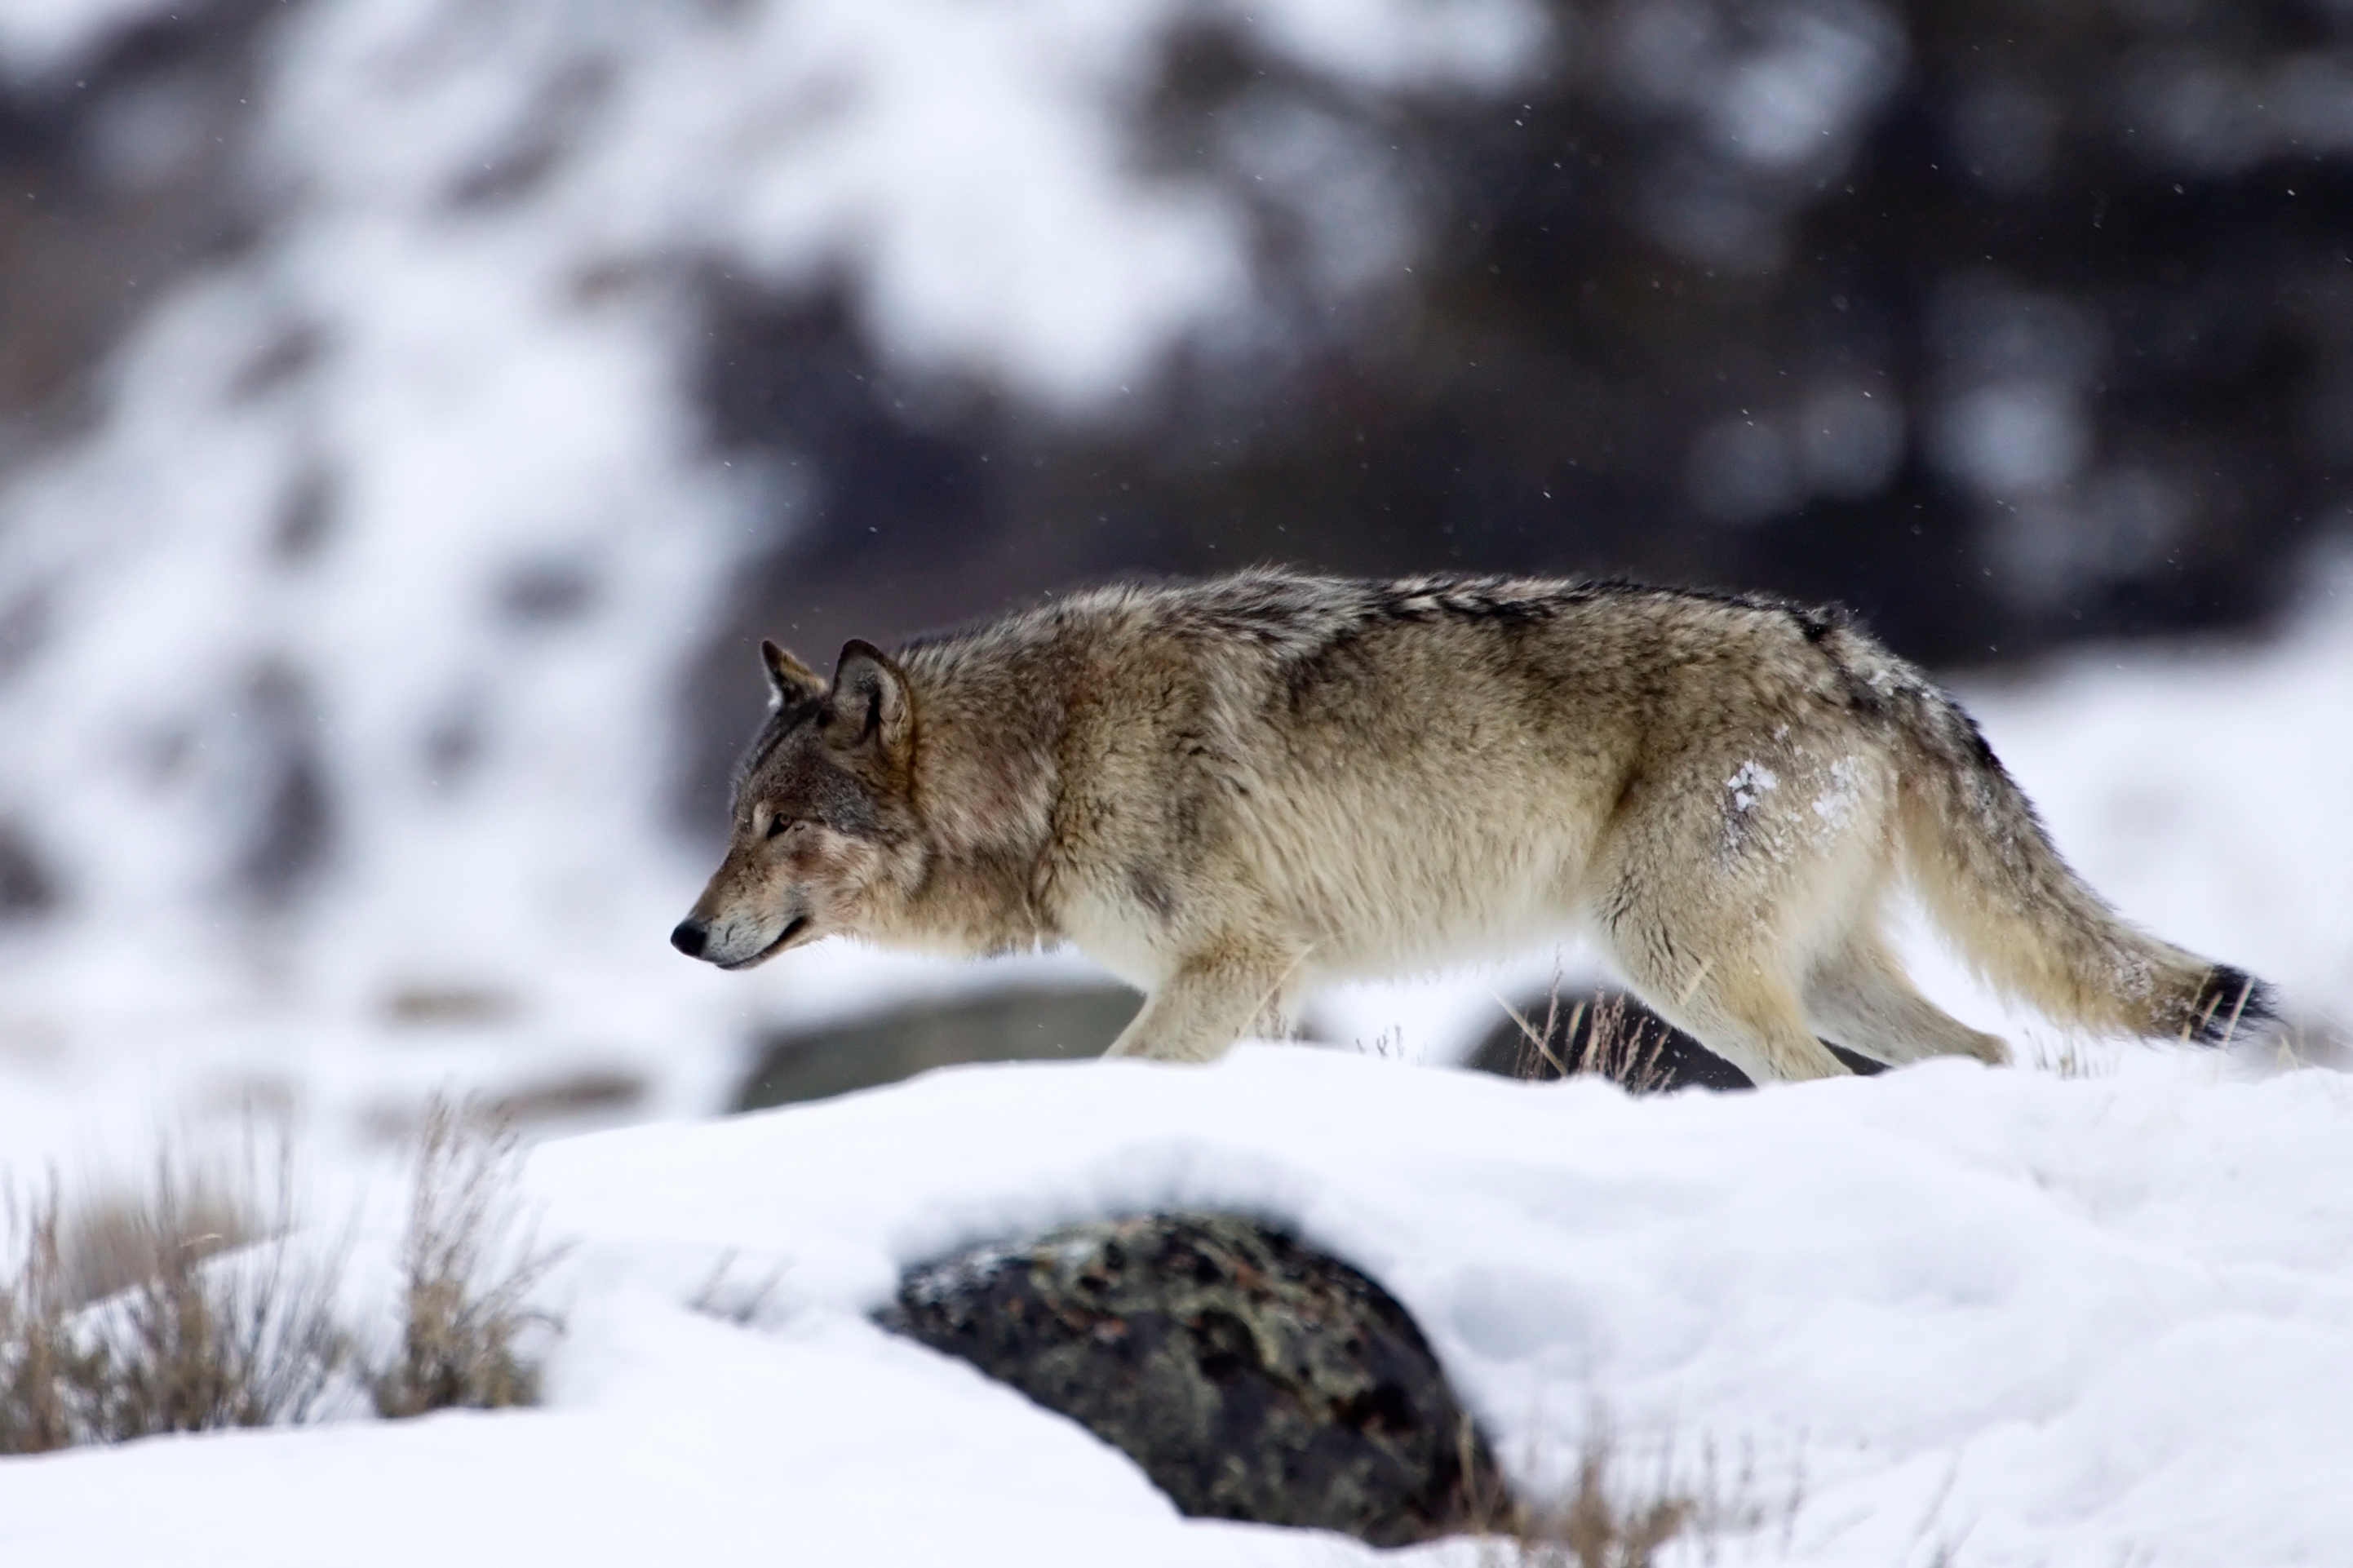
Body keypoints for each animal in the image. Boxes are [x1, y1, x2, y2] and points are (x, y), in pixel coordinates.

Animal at [670, 570, 2273, 1082]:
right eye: (731, 820)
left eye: (774, 823)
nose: (685, 934)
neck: (1049, 756)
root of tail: (1860, 654)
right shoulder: (1266, 992)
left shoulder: (1233, 967)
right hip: (1808, 968)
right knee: (1992, 1052)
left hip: (1671, 956)